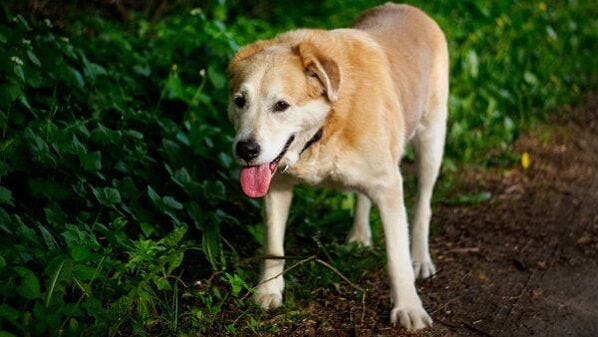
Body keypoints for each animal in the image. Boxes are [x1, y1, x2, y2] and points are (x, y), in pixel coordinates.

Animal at [227, 1, 448, 328]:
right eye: (240, 101)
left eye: (281, 105)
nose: (246, 150)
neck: (327, 123)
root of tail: (405, 7)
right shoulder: (277, 186)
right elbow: (273, 247)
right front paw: (268, 291)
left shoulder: (389, 186)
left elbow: (397, 258)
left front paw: (409, 307)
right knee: (361, 195)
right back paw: (359, 235)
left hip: (431, 141)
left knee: (423, 205)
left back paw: (421, 258)